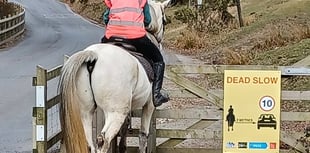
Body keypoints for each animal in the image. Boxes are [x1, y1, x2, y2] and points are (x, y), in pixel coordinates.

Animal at [57, 0, 174, 153]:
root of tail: (94, 56)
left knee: (90, 143)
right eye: (164, 21)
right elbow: (143, 135)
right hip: (115, 112)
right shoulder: (149, 105)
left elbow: (124, 130)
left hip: (86, 111)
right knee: (103, 140)